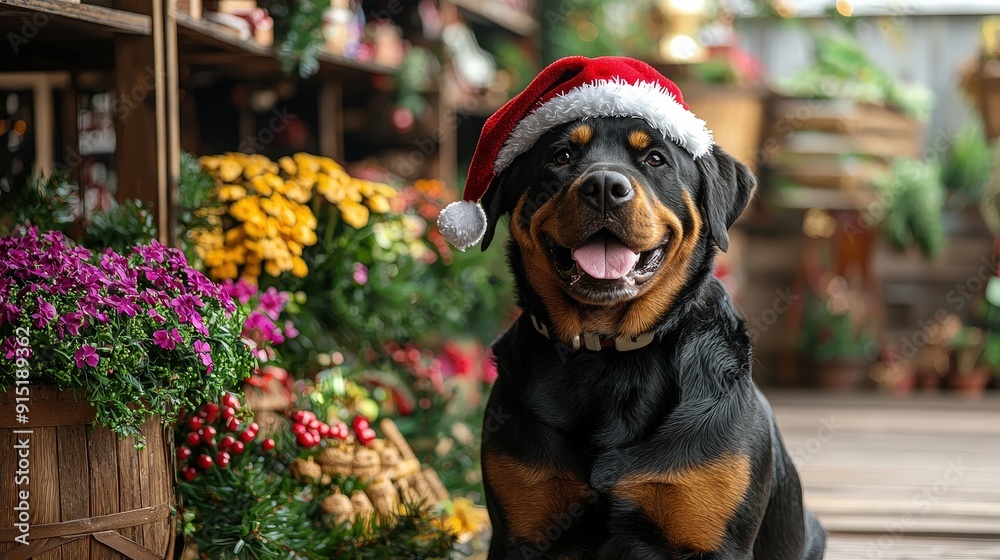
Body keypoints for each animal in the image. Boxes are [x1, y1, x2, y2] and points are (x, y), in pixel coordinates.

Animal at [476, 116, 828, 556]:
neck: (609, 352)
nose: (604, 186)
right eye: (561, 156)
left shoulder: (715, 535)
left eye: (656, 159)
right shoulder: (522, 526)